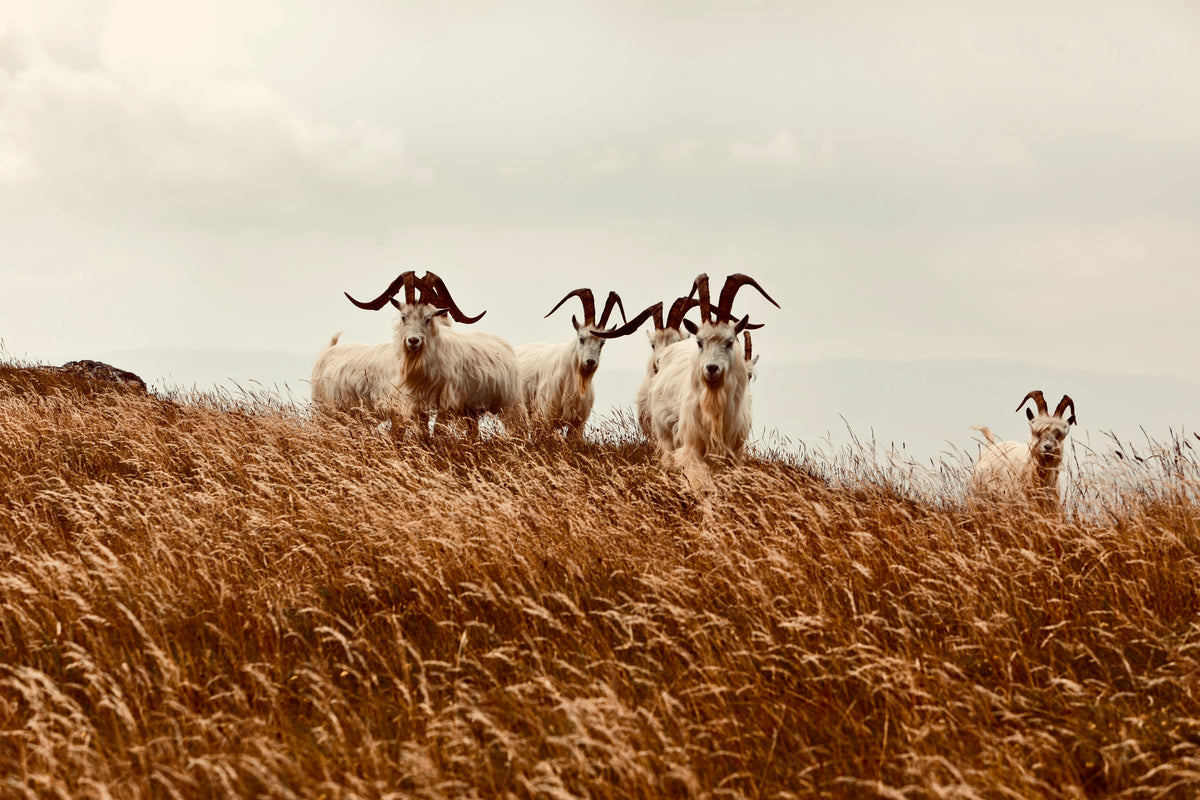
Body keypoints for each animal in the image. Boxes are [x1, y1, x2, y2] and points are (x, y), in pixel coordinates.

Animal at [309, 273, 525, 438]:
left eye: (428, 318)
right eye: (404, 317)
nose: (413, 341)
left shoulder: (445, 402)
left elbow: (434, 431)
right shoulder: (412, 404)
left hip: (506, 404)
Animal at [648, 272, 777, 484]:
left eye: (730, 342)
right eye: (700, 342)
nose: (712, 368)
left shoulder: (734, 452)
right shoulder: (693, 448)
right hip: (665, 436)